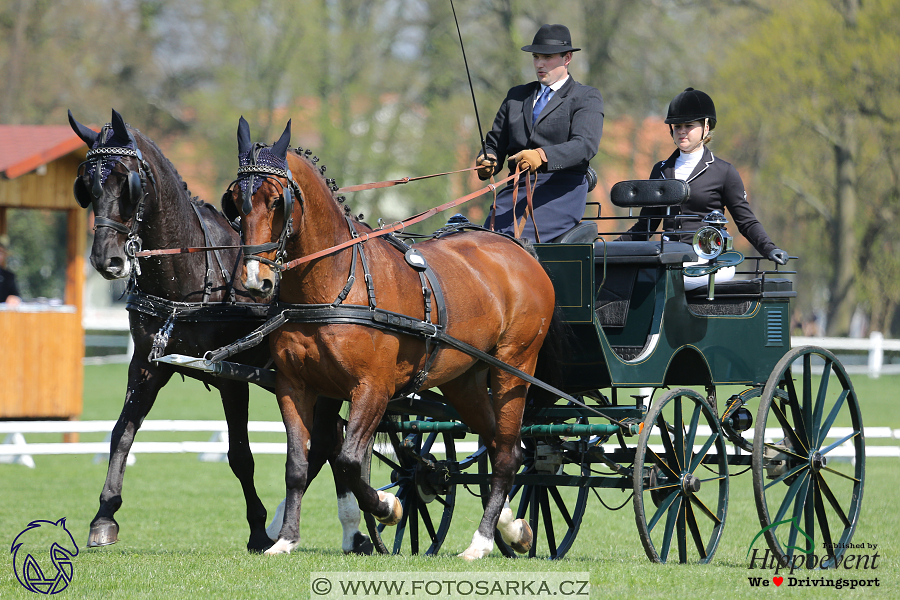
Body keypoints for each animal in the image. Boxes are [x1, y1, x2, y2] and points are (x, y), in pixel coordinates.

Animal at [66, 109, 370, 552]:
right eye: (87, 184)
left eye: (127, 181)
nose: (107, 260)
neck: (187, 276)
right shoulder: (147, 364)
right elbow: (122, 432)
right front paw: (104, 516)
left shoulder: (230, 375)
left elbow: (240, 454)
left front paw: (258, 529)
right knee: (329, 442)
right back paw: (348, 529)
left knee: (326, 443)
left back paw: (338, 528)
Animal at [229, 118, 560, 556]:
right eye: (236, 202)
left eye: (276, 201)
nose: (255, 282)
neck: (335, 284)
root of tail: (519, 249)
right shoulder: (294, 385)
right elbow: (297, 465)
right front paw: (284, 540)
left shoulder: (373, 388)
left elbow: (350, 461)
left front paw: (389, 507)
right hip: (465, 380)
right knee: (504, 447)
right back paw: (511, 527)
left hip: (514, 367)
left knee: (507, 453)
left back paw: (482, 541)